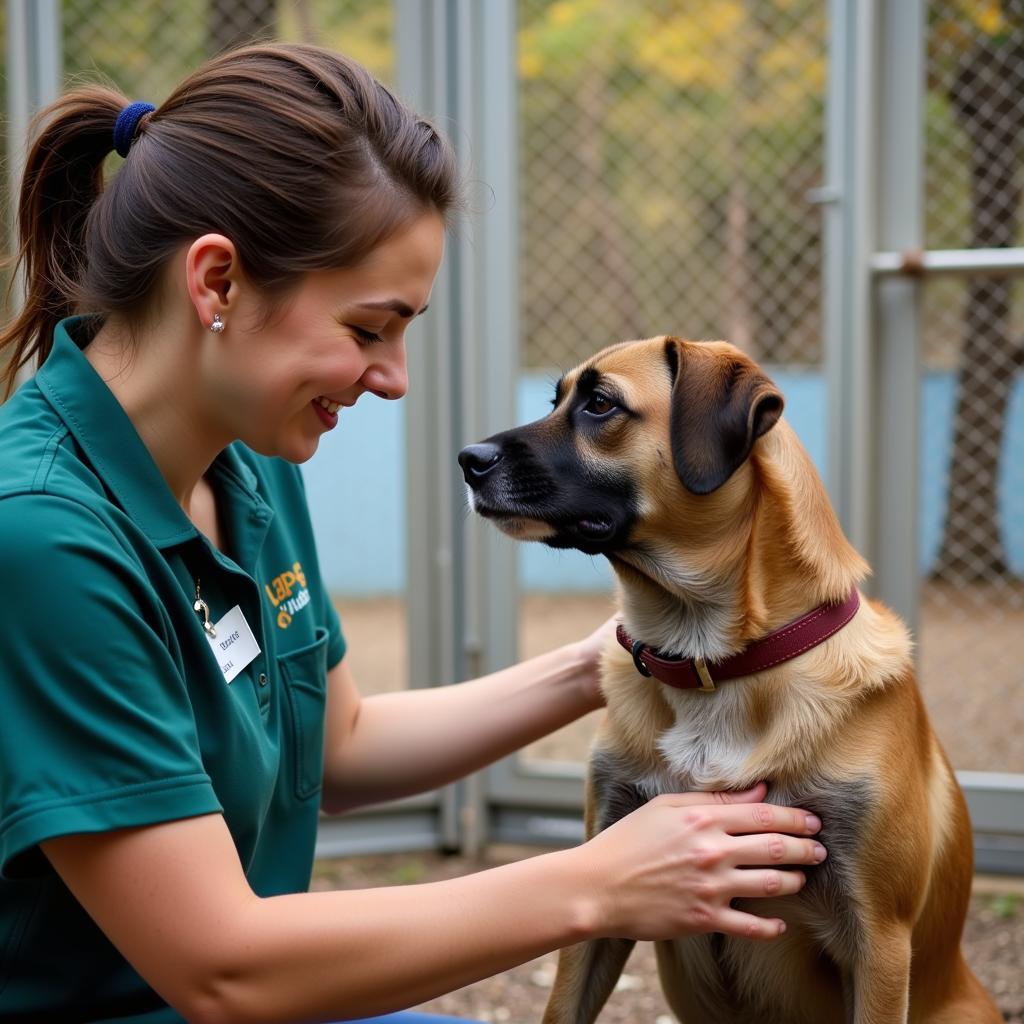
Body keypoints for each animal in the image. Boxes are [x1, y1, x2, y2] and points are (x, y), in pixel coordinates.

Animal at [458, 337, 999, 1024]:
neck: (710, 663)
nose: (467, 459)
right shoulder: (606, 876)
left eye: (600, 404)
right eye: (557, 399)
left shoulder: (879, 937)